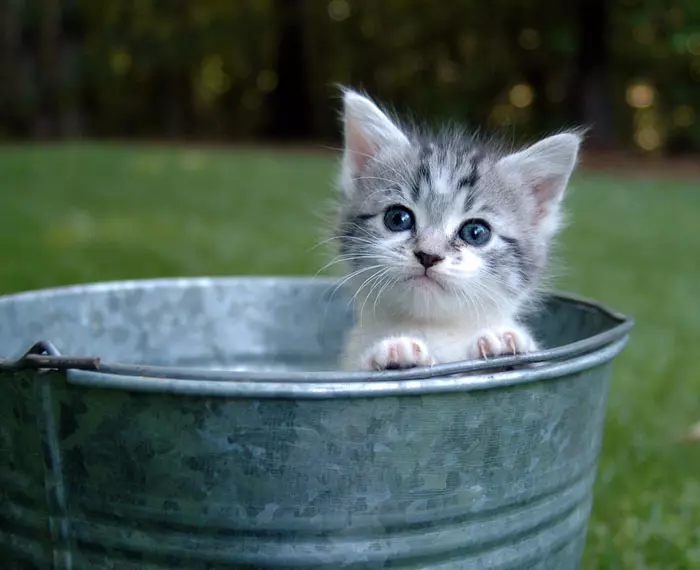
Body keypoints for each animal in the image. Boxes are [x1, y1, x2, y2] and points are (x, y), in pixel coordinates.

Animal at [332, 88, 580, 370]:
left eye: (476, 233)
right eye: (398, 219)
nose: (428, 255)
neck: (436, 331)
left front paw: (502, 344)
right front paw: (397, 352)